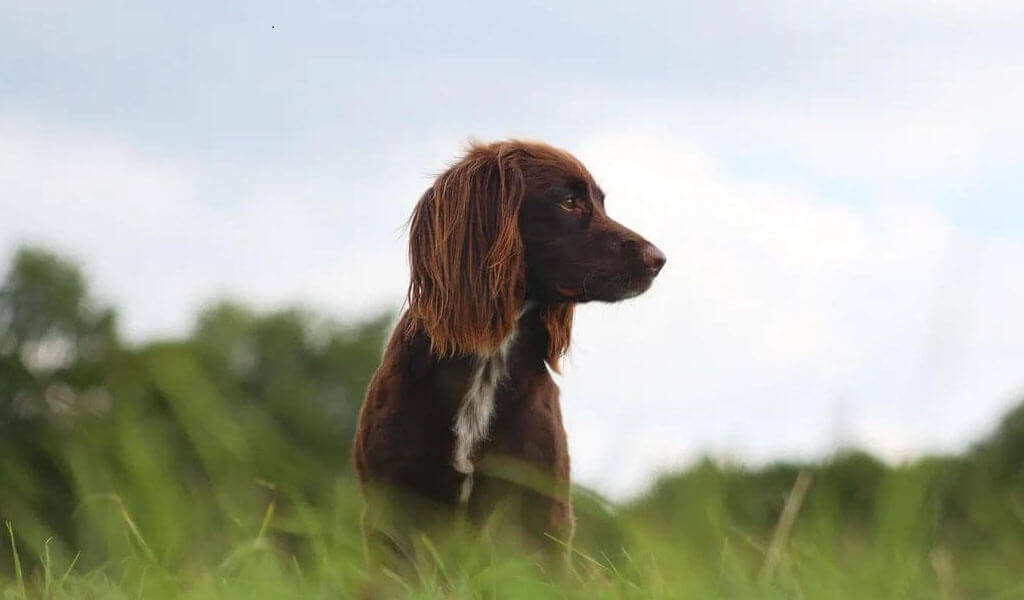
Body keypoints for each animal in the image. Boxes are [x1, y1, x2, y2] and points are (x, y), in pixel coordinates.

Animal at [356, 140, 667, 569]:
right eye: (569, 202)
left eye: (601, 203)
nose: (659, 259)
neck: (490, 358)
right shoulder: (393, 498)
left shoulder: (542, 508)